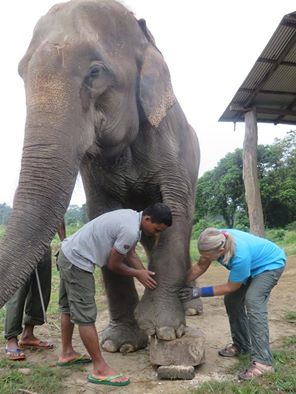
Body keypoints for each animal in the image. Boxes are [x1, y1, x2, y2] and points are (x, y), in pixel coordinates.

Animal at [0, 0, 201, 350]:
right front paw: (120, 344)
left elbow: (177, 208)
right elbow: (102, 215)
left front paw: (163, 330)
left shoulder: (170, 143)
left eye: (95, 72)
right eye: (21, 73)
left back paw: (190, 308)